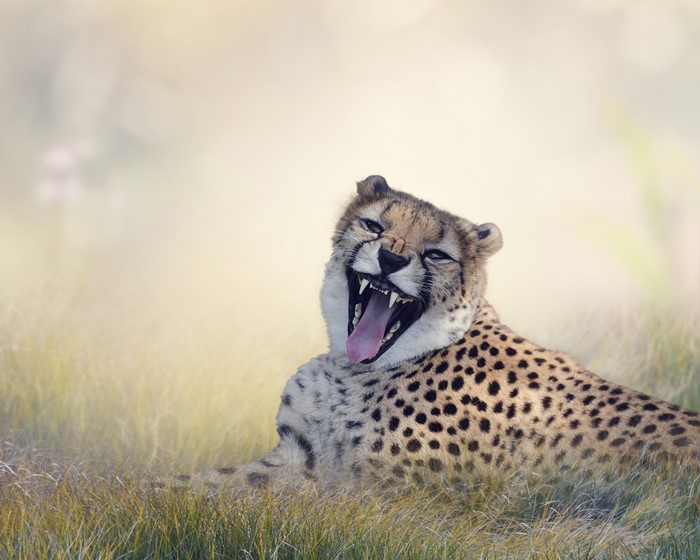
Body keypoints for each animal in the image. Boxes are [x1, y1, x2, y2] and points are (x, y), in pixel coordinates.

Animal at [163, 175, 699, 492]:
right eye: (373, 226)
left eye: (437, 254)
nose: (390, 259)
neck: (353, 369)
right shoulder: (297, 455)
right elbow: (197, 483)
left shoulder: (359, 489)